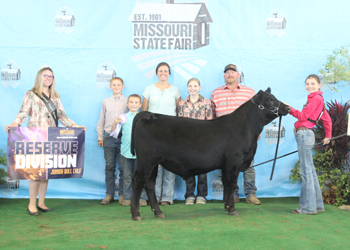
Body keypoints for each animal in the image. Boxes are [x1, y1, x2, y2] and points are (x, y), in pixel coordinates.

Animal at [130, 88, 288, 221]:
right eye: (269, 99)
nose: (287, 108)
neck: (247, 128)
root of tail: (149, 114)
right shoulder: (234, 161)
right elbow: (232, 184)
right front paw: (233, 209)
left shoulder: (226, 165)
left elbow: (226, 184)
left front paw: (227, 206)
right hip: (146, 160)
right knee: (138, 180)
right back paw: (136, 214)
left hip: (154, 163)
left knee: (149, 183)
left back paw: (158, 212)